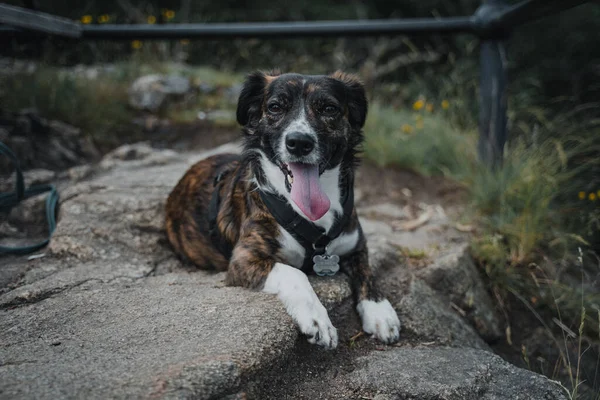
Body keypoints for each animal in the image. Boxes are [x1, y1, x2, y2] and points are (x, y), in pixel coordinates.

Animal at [164, 70, 400, 348]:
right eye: (275, 107)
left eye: (329, 108)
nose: (299, 143)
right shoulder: (244, 260)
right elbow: (295, 274)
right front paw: (318, 320)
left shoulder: (356, 247)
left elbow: (368, 274)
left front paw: (381, 312)